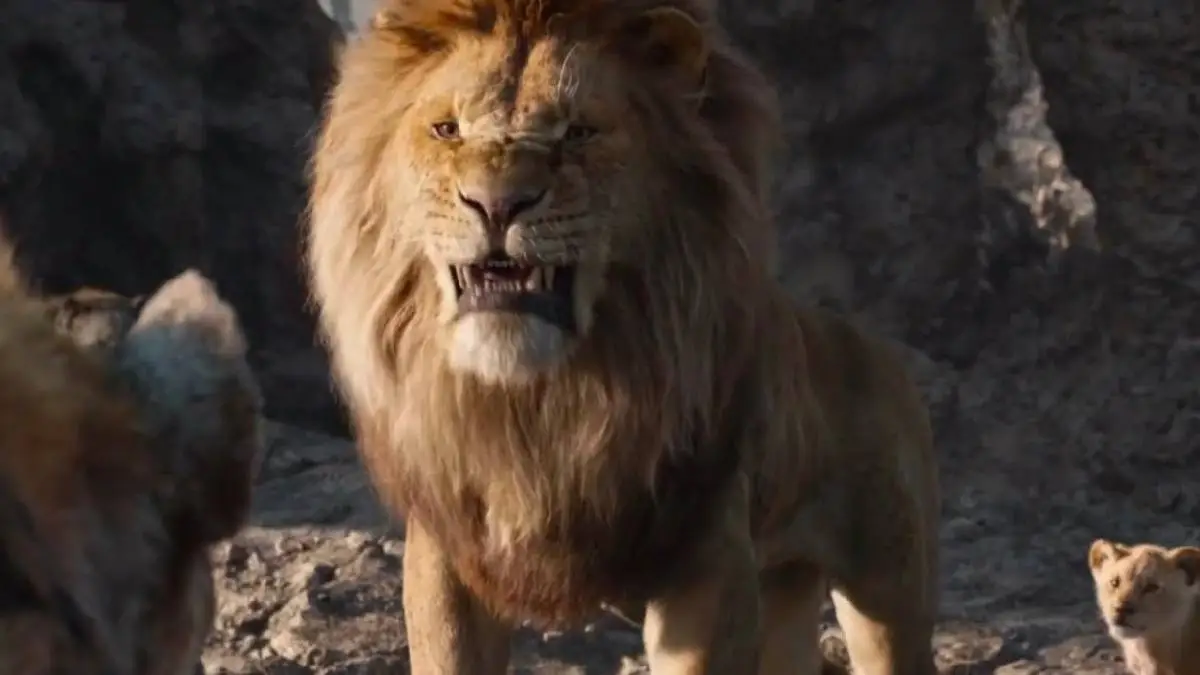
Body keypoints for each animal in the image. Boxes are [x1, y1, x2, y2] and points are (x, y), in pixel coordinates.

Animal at [306, 0, 940, 673]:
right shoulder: (447, 552)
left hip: (889, 585)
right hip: (786, 591)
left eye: (578, 132)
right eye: (448, 130)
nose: (496, 203)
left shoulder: (708, 557)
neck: (539, 401)